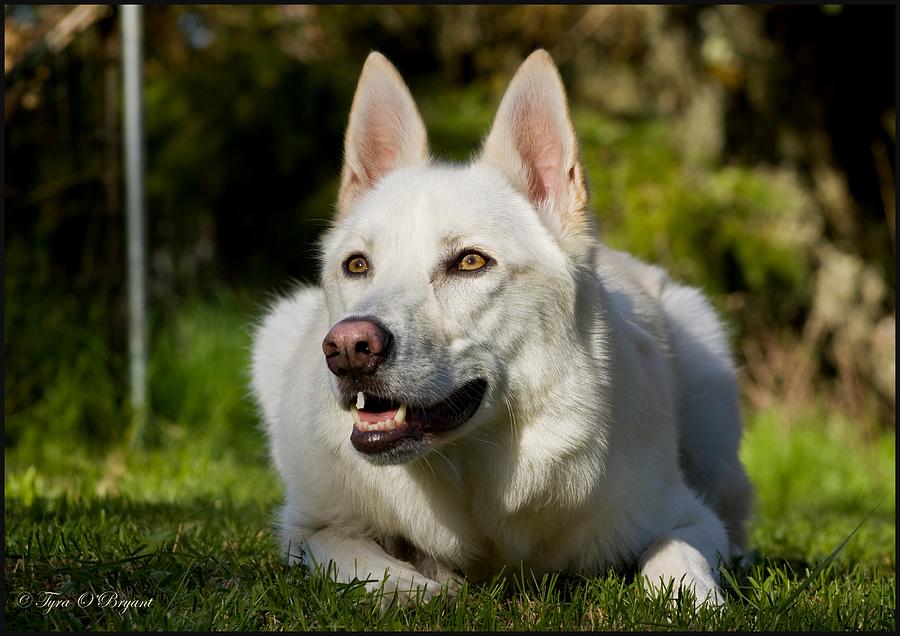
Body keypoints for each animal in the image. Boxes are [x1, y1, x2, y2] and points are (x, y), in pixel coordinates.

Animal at [250, 48, 748, 608]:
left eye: (470, 262)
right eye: (357, 265)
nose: (348, 348)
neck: (474, 470)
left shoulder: (689, 518)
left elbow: (676, 560)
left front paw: (700, 604)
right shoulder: (307, 529)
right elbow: (363, 560)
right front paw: (424, 584)